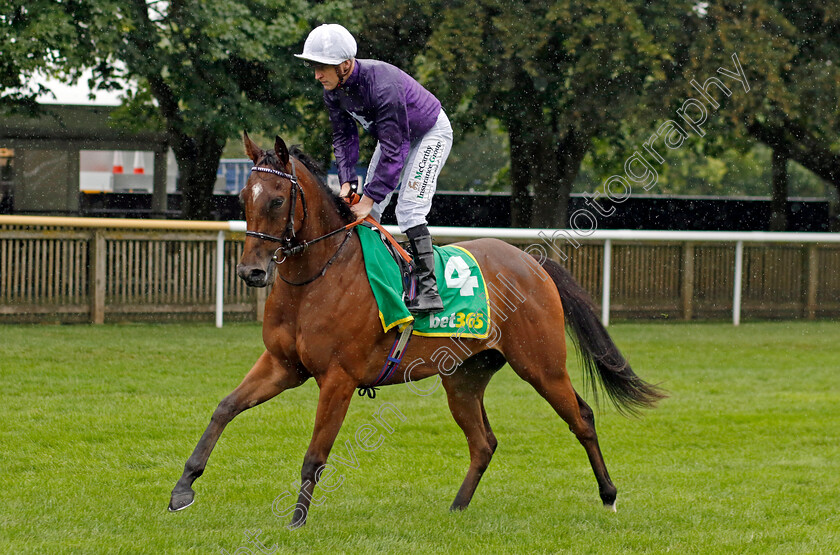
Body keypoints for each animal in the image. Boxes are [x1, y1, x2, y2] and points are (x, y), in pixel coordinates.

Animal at [169, 132, 664, 528]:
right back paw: (457, 509)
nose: (251, 272)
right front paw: (183, 488)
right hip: (463, 378)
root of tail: (532, 261)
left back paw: (609, 496)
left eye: (275, 200)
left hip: (542, 365)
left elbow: (315, 454)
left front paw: (295, 522)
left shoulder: (338, 379)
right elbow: (224, 408)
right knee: (483, 442)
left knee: (581, 417)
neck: (317, 278)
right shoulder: (282, 365)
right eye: (242, 199)